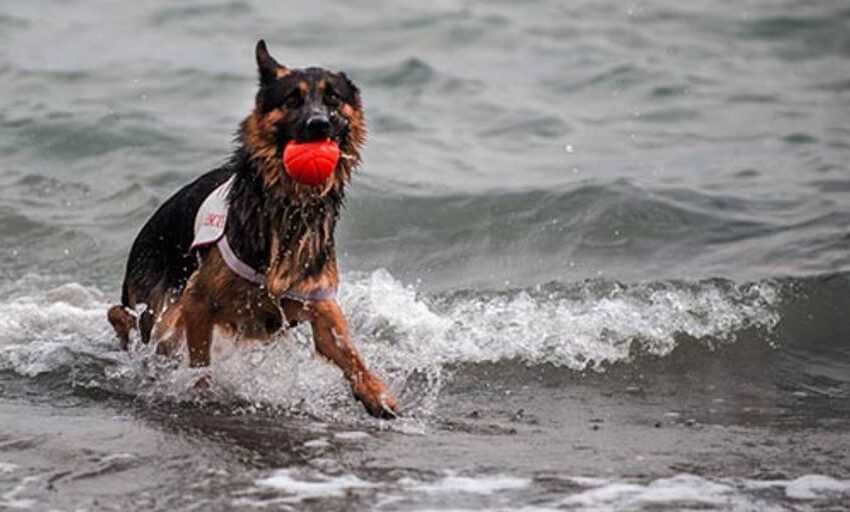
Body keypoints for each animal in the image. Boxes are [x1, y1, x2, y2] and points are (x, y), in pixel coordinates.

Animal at [107, 38, 398, 418]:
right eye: (292, 100)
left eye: (333, 98)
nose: (318, 125)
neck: (287, 207)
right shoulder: (197, 302)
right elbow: (200, 363)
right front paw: (200, 391)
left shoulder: (319, 305)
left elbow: (347, 351)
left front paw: (375, 392)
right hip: (163, 305)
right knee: (127, 318)